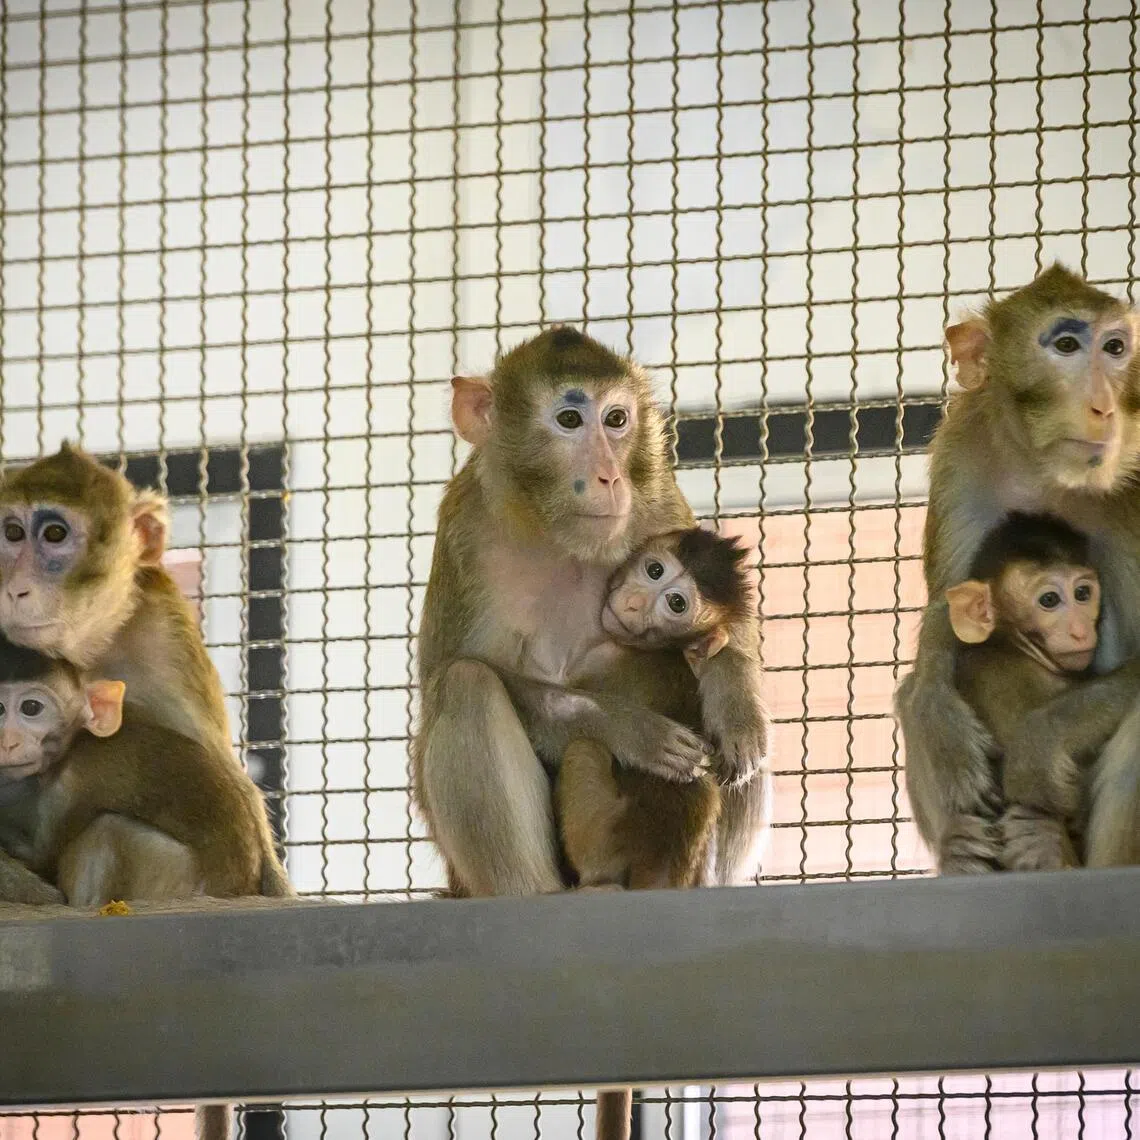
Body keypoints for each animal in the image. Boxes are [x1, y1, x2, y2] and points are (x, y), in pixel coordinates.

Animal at [554, 526, 759, 891]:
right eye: (654, 570)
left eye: (676, 603)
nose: (634, 602)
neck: (663, 651)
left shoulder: (600, 659)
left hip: (602, 840)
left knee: (584, 750)